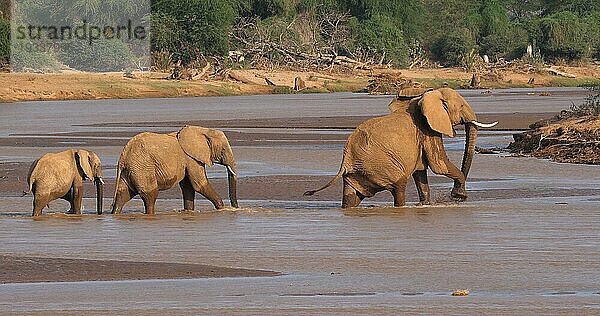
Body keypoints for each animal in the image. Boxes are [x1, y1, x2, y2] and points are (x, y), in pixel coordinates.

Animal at [304, 87, 496, 209]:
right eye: (462, 106)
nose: (455, 195)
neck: (423, 97)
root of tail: (346, 160)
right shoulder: (427, 130)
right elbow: (439, 165)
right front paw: (460, 196)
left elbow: (420, 172)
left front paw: (426, 204)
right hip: (382, 166)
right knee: (399, 187)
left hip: (356, 174)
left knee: (351, 197)